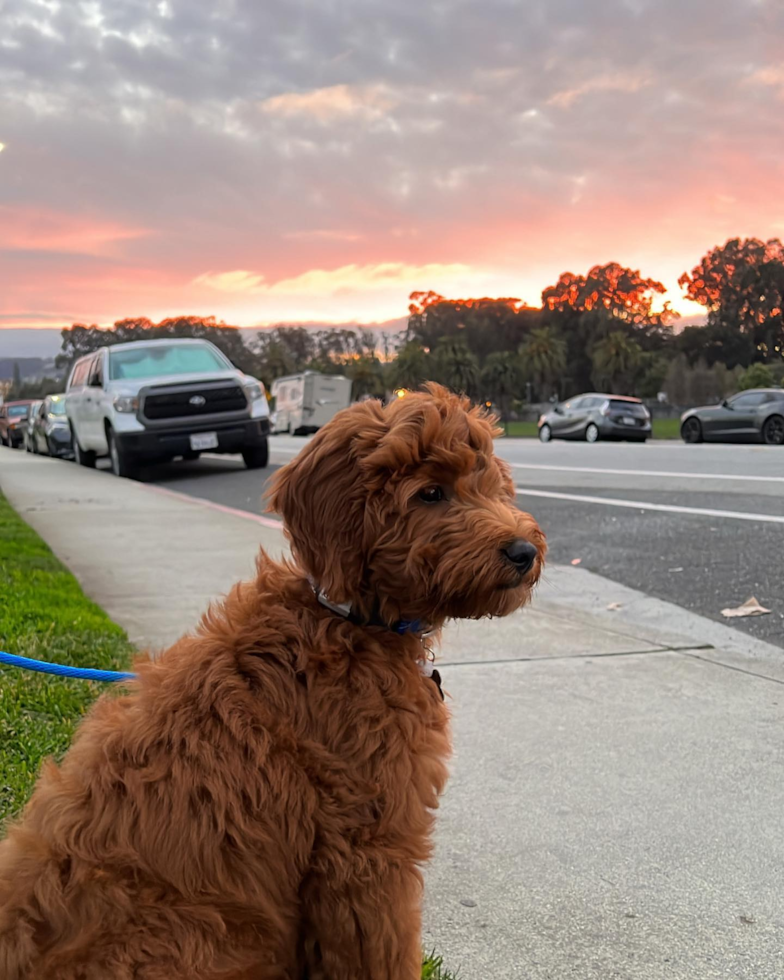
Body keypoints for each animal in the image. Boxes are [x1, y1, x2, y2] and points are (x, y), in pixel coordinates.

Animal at [0, 384, 544, 980]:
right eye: (430, 493)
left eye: (489, 483)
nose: (525, 552)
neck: (346, 619)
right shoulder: (367, 851)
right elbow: (385, 953)